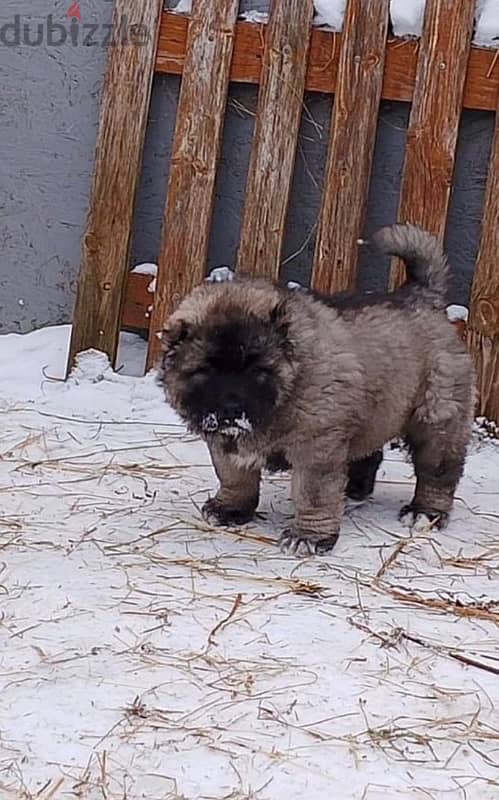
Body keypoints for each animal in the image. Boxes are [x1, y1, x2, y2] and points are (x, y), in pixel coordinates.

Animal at [158, 222, 474, 552]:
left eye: (258, 371)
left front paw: (308, 535)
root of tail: (422, 296)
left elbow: (313, 492)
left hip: (437, 416)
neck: (287, 388)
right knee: (368, 453)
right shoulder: (226, 441)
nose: (232, 409)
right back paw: (353, 491)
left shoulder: (316, 446)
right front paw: (230, 508)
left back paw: (425, 512)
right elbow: (234, 476)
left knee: (438, 469)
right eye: (205, 371)